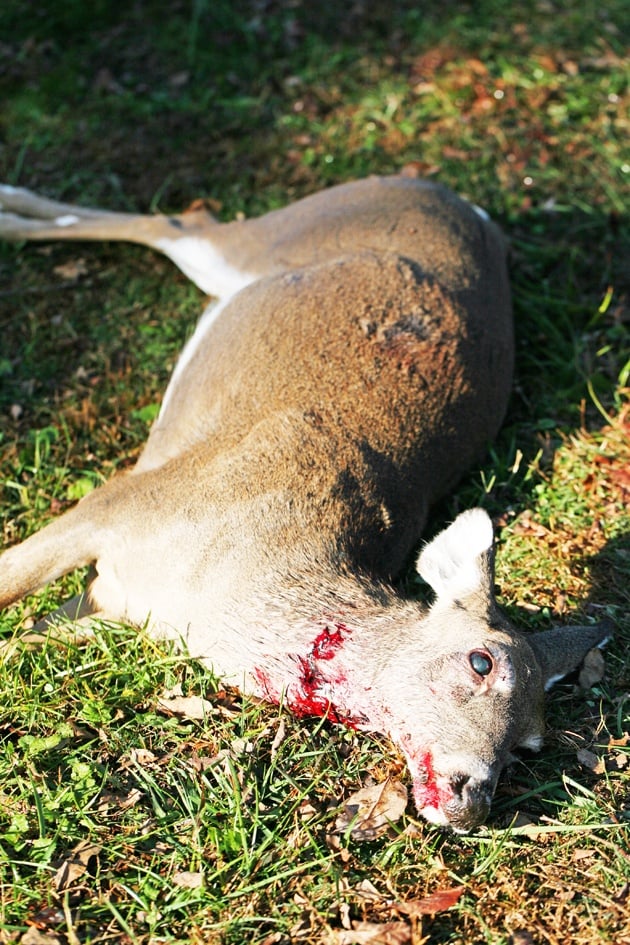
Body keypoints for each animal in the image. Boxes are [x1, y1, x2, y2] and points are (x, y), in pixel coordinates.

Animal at [0, 175, 612, 824]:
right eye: (481, 661)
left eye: (528, 745)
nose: (474, 796)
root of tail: (466, 207)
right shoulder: (124, 501)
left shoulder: (114, 603)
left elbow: (22, 641)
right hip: (277, 234)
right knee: (178, 220)